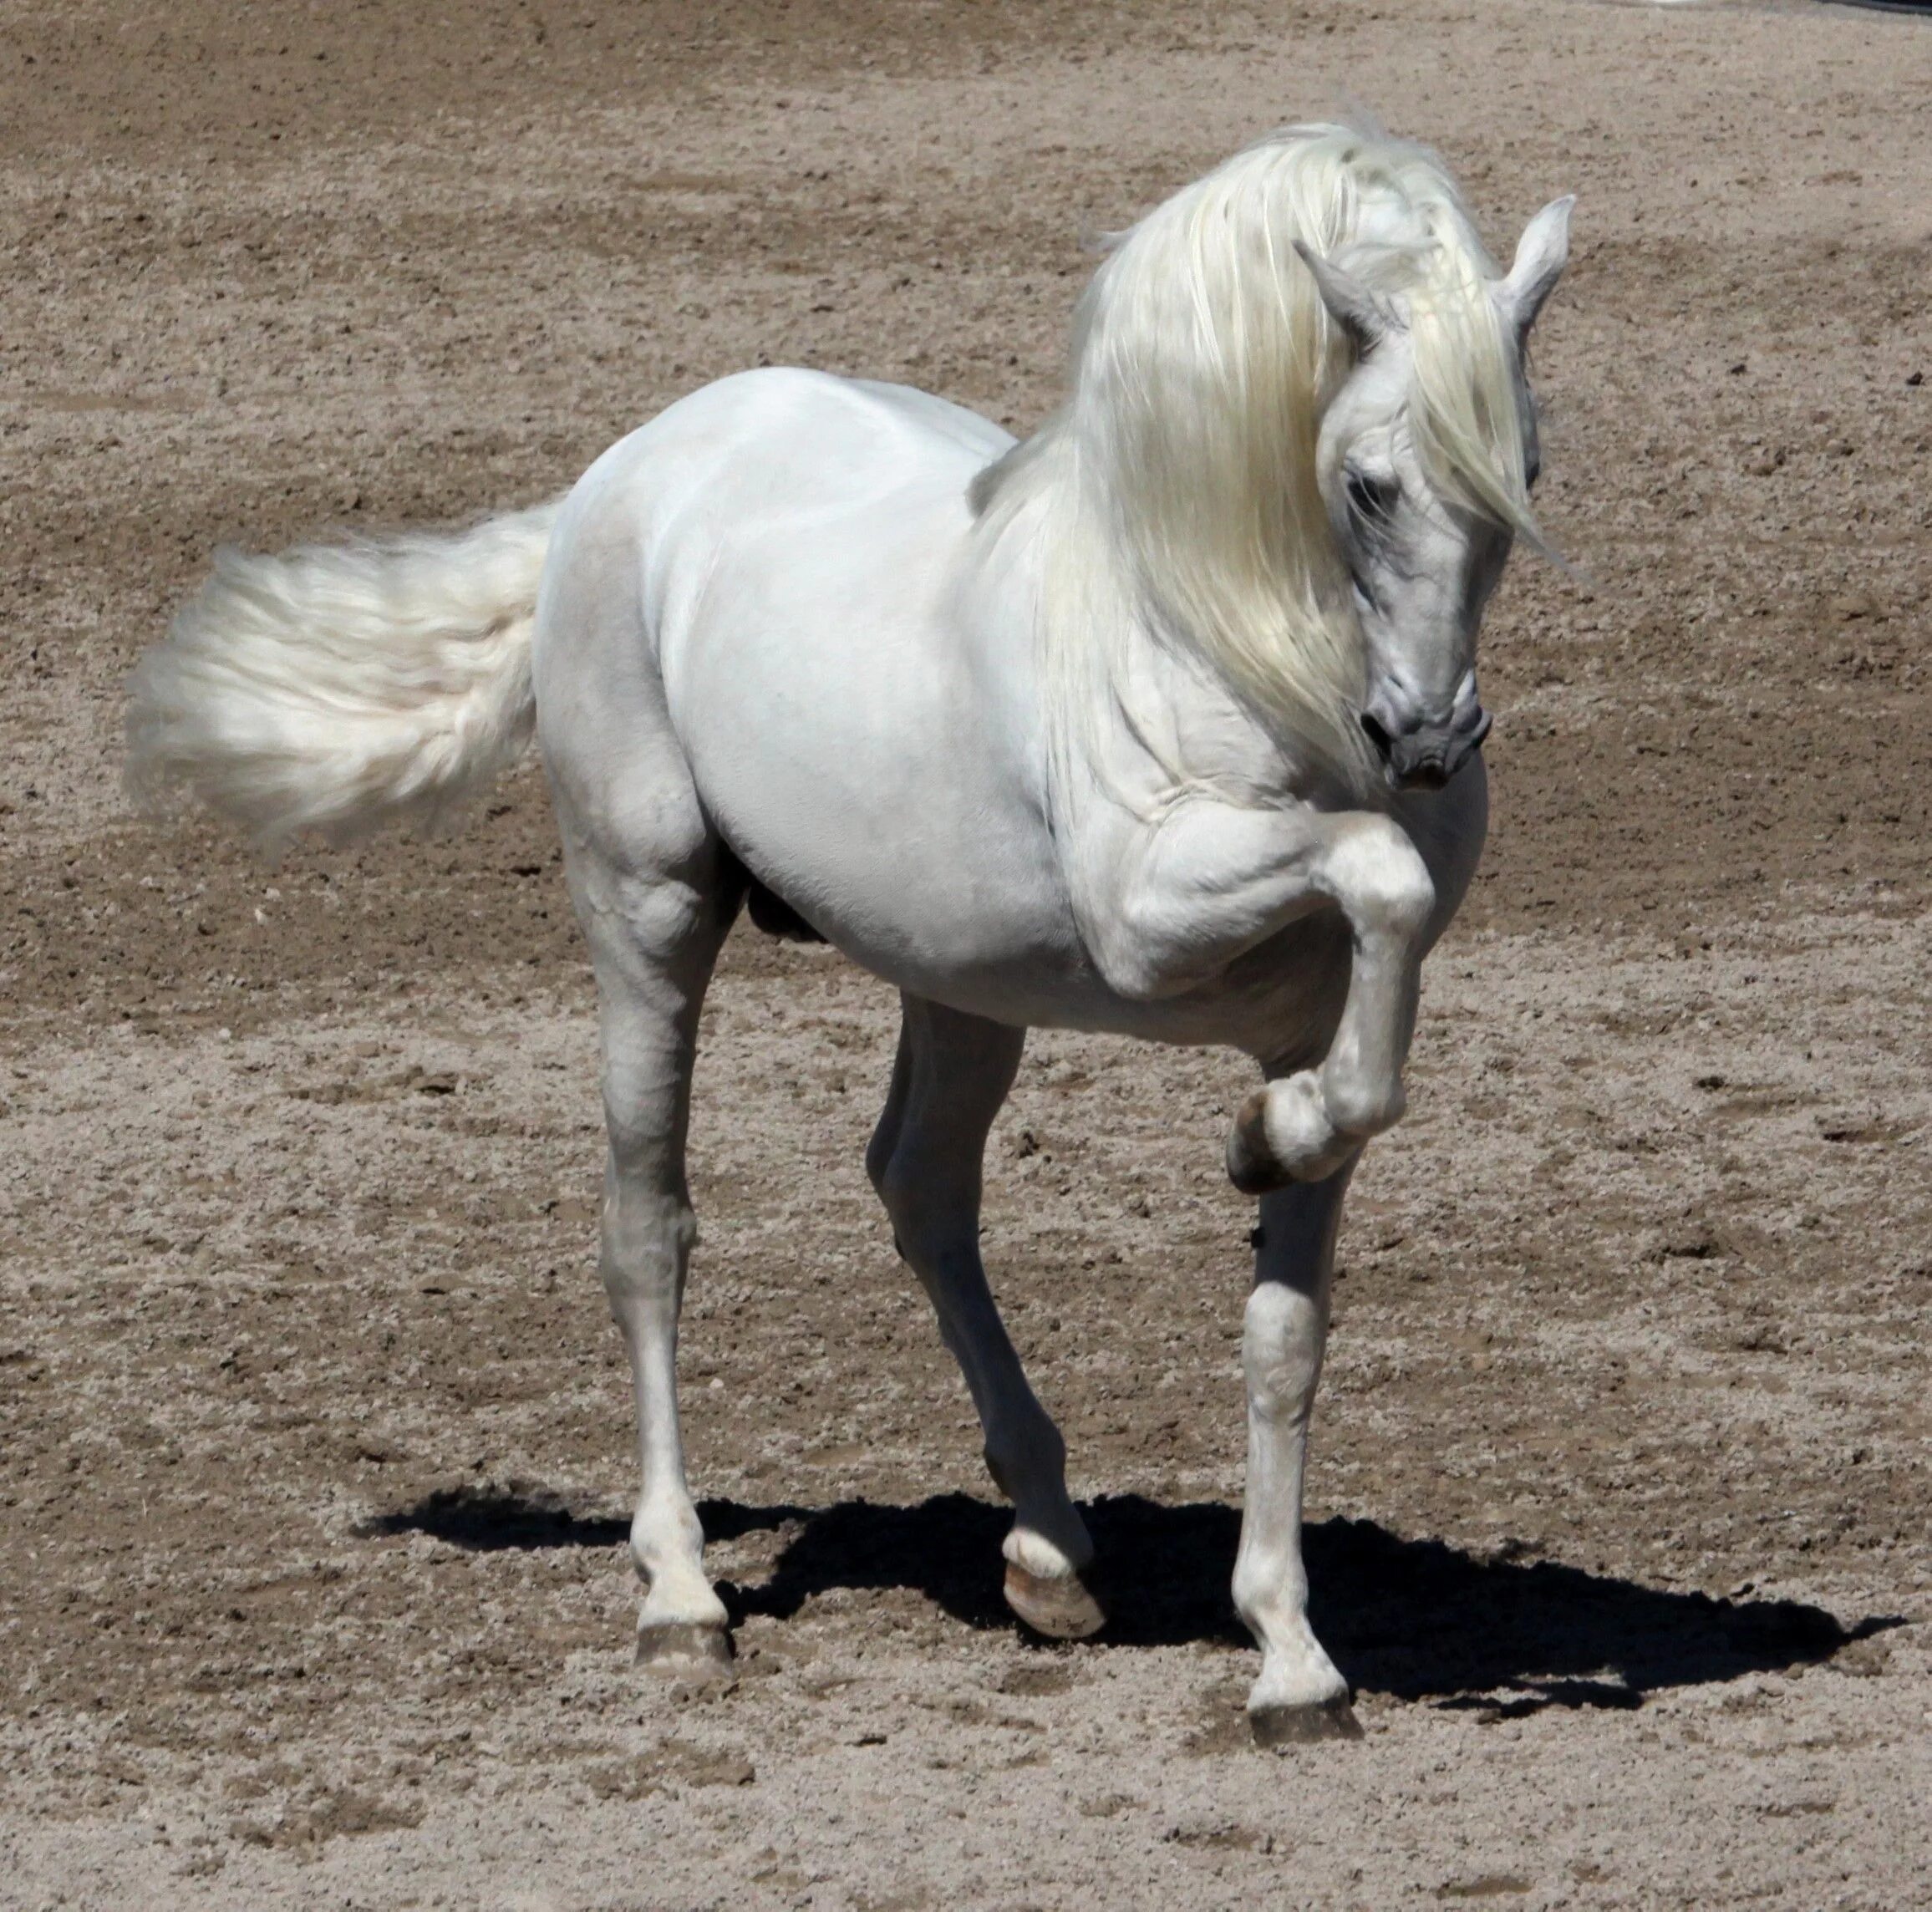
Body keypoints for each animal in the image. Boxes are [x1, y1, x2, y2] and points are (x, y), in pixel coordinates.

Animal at [125, 123, 1568, 1753]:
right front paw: (1267, 1140)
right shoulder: (1151, 916)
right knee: (649, 1226)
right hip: (650, 912)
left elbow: (1290, 1318)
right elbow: (1377, 879)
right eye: (1371, 485)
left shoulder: (1305, 1013)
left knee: (920, 1189)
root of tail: (615, 478)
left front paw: (1290, 1657)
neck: (1225, 635)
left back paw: (1048, 1551)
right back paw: (681, 1596)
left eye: (1521, 470)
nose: (1428, 743)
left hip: (963, 983)